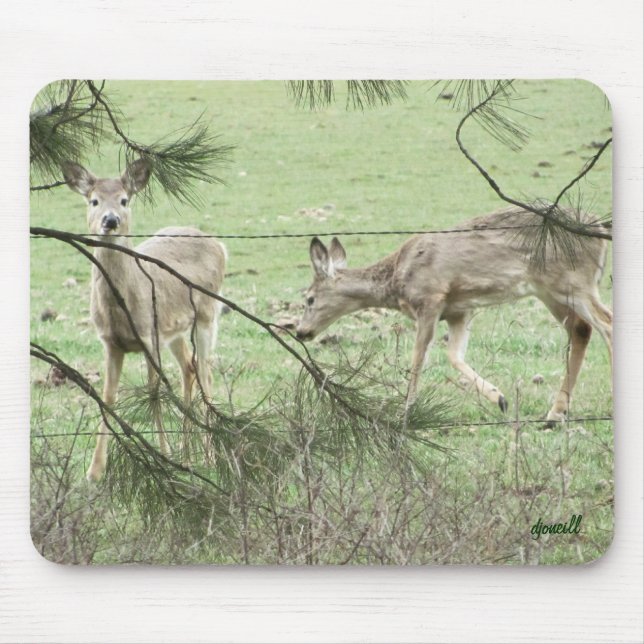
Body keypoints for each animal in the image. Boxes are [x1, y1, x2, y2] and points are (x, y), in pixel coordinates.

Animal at [62, 159, 227, 481]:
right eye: (93, 200)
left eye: (124, 200)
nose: (110, 220)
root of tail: (218, 244)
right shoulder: (111, 343)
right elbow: (107, 398)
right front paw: (94, 471)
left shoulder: (149, 337)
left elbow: (154, 394)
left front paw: (164, 456)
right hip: (174, 330)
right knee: (189, 368)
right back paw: (188, 453)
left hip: (206, 313)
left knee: (206, 373)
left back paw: (209, 456)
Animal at [295, 206, 612, 424]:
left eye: (309, 299)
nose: (300, 332)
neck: (397, 277)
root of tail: (598, 228)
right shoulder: (460, 311)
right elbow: (454, 356)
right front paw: (499, 398)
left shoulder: (430, 299)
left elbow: (418, 360)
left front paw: (406, 412)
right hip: (550, 291)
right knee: (581, 330)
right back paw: (555, 413)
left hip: (573, 281)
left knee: (607, 324)